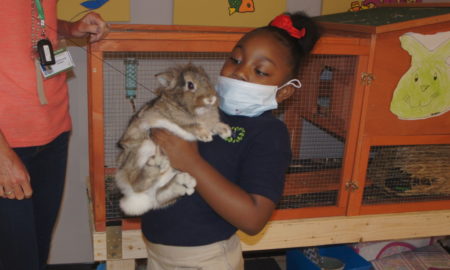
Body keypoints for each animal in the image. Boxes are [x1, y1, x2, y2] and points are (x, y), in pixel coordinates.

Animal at [115, 62, 232, 215]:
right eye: (190, 85)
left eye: (207, 79)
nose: (211, 98)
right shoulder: (173, 120)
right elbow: (189, 125)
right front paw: (205, 135)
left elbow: (213, 125)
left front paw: (225, 131)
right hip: (140, 148)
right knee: (136, 183)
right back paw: (156, 165)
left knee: (159, 195)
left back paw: (181, 183)